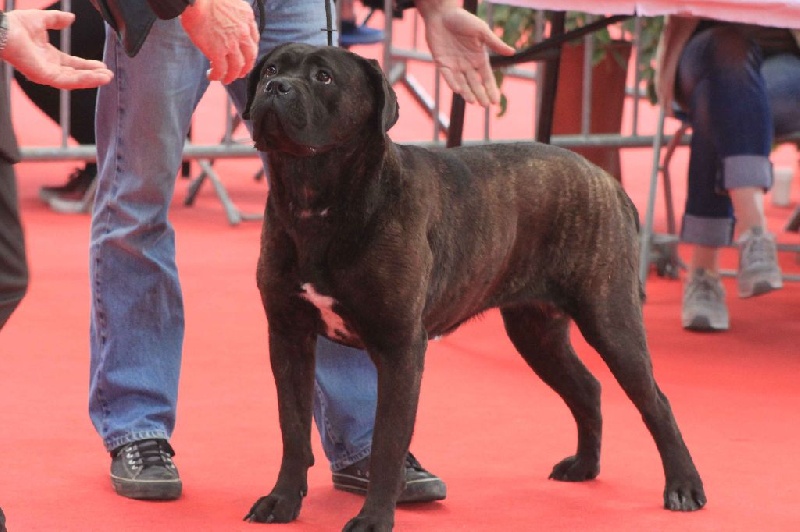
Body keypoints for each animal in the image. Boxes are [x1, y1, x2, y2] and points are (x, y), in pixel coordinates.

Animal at [241, 43, 706, 531]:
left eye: (324, 77)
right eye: (270, 69)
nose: (276, 87)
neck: (316, 197)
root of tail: (607, 180)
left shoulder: (399, 348)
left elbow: (388, 442)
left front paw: (374, 518)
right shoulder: (289, 336)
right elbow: (293, 428)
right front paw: (282, 501)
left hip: (610, 321)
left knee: (656, 402)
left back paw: (683, 486)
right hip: (536, 332)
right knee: (587, 389)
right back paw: (583, 466)